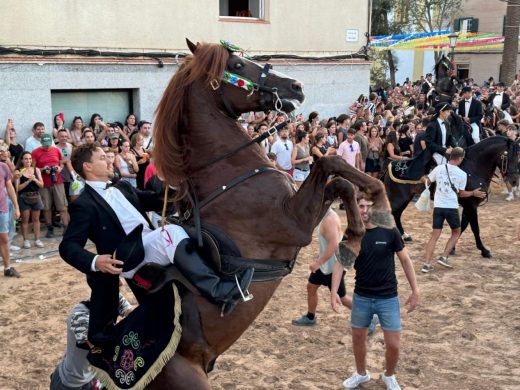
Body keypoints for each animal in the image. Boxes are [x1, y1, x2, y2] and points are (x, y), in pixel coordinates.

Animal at [140, 41, 392, 388]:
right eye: (236, 64)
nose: (296, 86)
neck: (228, 172)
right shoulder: (295, 223)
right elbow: (331, 164)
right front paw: (358, 233)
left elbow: (337, 176)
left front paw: (366, 219)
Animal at [384, 136, 516, 258]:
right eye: (509, 156)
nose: (514, 180)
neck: (474, 166)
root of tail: (391, 165)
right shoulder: (471, 205)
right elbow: (475, 228)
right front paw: (484, 250)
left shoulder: (468, 206)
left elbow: (462, 227)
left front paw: (452, 248)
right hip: (398, 197)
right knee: (391, 213)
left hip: (405, 198)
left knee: (396, 214)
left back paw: (404, 236)